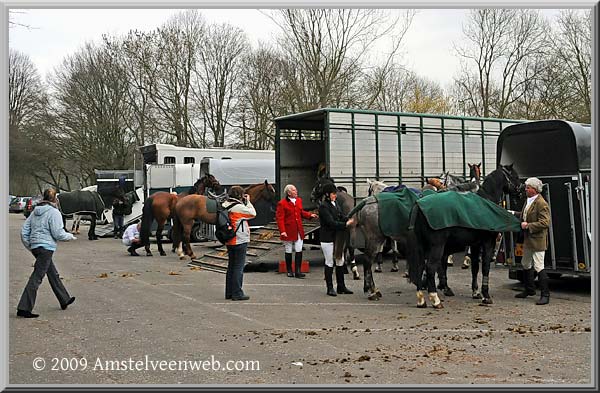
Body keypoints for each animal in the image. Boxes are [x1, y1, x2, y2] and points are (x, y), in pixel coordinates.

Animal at [406, 164, 524, 308]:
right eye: (515, 176)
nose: (521, 189)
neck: (486, 199)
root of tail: (418, 205)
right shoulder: (488, 243)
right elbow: (485, 267)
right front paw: (486, 295)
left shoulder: (475, 245)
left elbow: (475, 267)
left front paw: (476, 292)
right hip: (436, 247)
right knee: (430, 268)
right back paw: (435, 299)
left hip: (421, 246)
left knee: (420, 267)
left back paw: (421, 299)